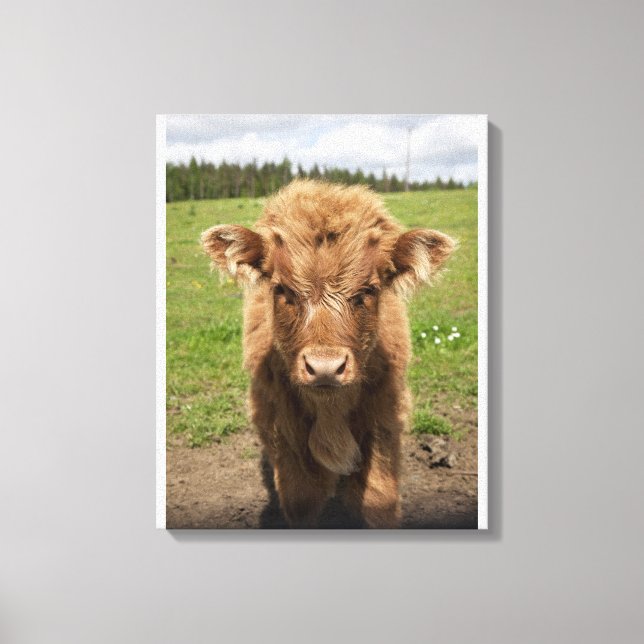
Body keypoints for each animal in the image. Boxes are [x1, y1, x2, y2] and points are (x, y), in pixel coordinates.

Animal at [201, 179, 455, 528]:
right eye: (282, 290)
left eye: (369, 290)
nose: (325, 367)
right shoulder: (284, 432)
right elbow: (301, 501)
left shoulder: (384, 422)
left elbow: (379, 500)